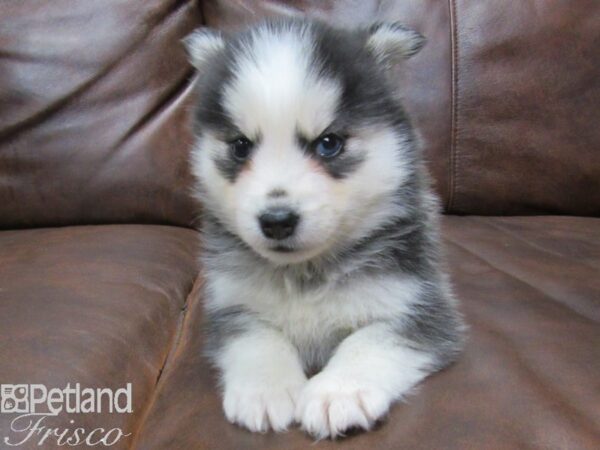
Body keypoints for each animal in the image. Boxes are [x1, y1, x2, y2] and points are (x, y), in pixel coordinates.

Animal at [185, 19, 466, 438]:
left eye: (329, 144)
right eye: (240, 147)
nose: (276, 221)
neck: (305, 273)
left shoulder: (423, 307)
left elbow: (371, 338)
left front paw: (339, 392)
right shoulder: (230, 303)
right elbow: (256, 335)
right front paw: (265, 388)